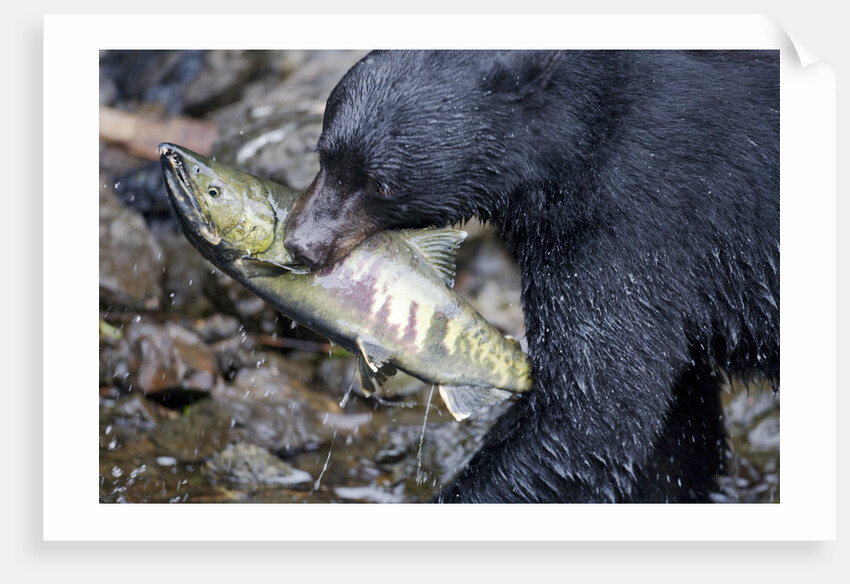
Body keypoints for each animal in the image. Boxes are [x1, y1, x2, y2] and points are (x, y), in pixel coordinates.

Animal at [283, 50, 780, 503]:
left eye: (380, 183)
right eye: (323, 155)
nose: (300, 243)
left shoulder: (632, 227)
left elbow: (591, 410)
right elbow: (674, 423)